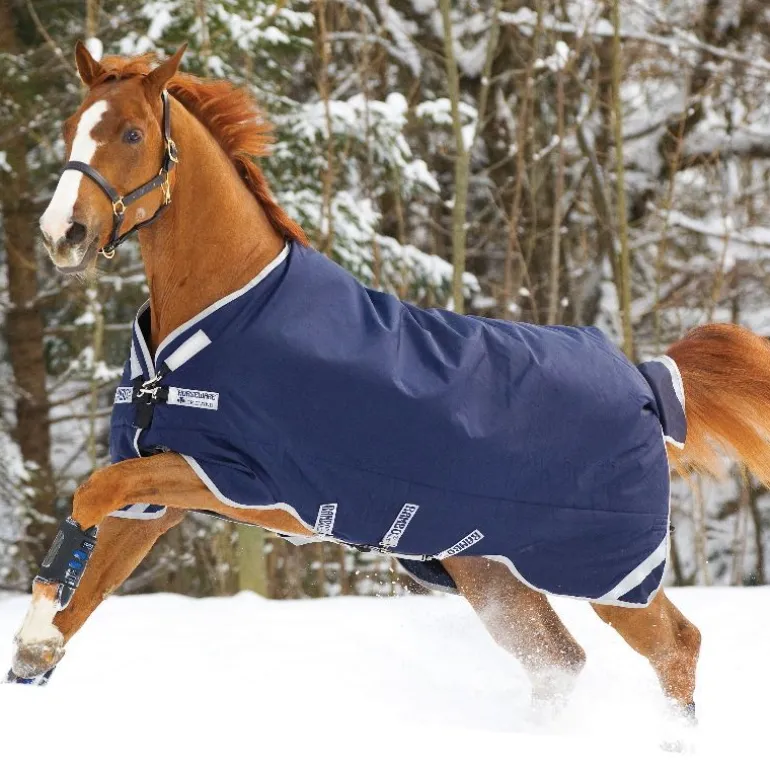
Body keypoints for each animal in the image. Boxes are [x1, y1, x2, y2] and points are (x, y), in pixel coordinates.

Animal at [9, 43, 770, 724]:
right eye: (73, 125)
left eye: (132, 133)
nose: (62, 232)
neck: (219, 316)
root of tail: (646, 380)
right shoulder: (157, 496)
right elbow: (88, 579)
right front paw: (35, 651)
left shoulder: (240, 479)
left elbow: (90, 494)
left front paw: (33, 635)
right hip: (489, 571)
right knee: (560, 662)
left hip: (608, 572)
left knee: (676, 647)